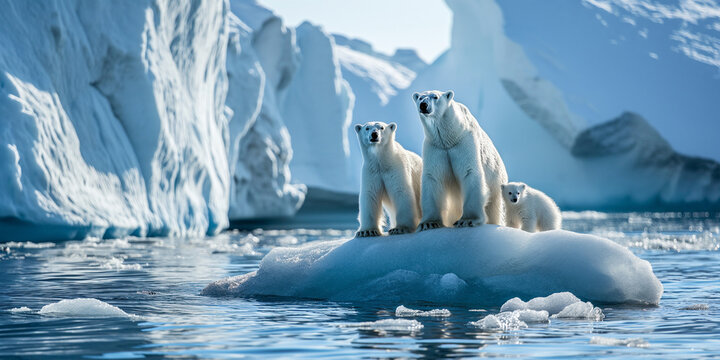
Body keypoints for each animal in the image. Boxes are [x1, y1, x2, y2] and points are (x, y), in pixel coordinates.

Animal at [410, 90, 506, 231]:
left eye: (435, 97)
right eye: (420, 97)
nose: (423, 105)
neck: (449, 138)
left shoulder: (464, 142)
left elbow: (469, 172)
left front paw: (467, 220)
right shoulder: (435, 147)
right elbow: (433, 177)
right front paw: (429, 223)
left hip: (496, 184)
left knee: (494, 209)